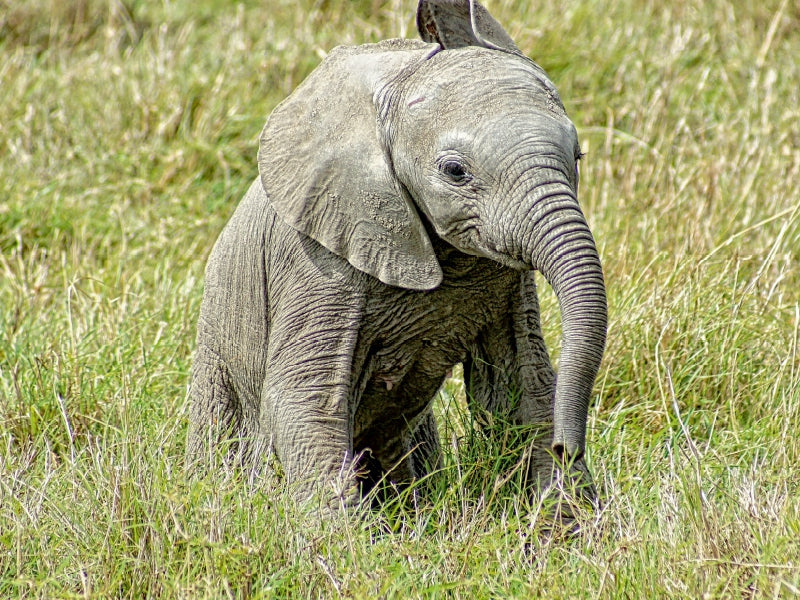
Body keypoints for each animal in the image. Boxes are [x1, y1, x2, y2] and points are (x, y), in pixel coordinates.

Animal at [187, 0, 607, 511]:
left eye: (578, 156)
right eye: (455, 171)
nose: (569, 447)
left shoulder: (509, 283)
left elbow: (522, 385)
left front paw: (569, 521)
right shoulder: (320, 261)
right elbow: (304, 398)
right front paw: (339, 534)